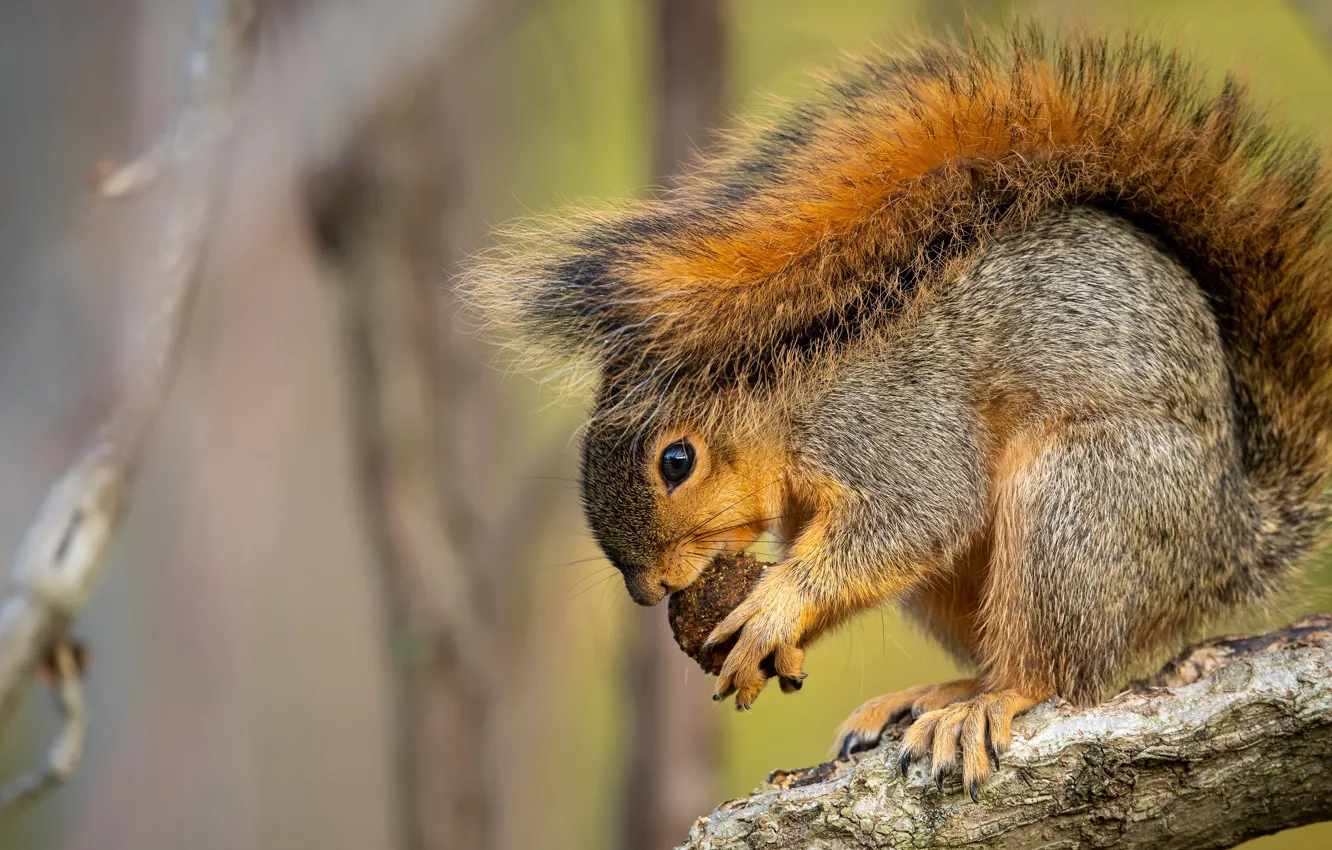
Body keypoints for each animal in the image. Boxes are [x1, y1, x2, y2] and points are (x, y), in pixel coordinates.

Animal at [467, 26, 1332, 799]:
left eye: (675, 461)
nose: (649, 591)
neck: (783, 388)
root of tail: (1230, 541)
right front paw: (777, 637)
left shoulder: (887, 426)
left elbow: (921, 513)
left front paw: (776, 606)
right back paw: (940, 695)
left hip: (1084, 505)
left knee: (1058, 672)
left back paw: (990, 702)